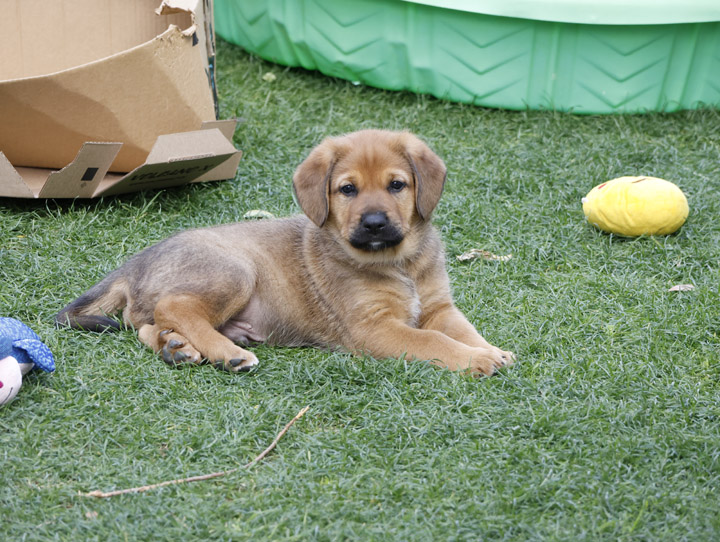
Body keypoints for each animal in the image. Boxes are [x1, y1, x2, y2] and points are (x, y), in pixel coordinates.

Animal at [57, 132, 512, 378]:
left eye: (397, 185)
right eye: (348, 189)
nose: (374, 223)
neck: (401, 263)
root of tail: (137, 261)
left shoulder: (439, 306)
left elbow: (462, 329)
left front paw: (490, 350)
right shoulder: (373, 327)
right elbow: (433, 340)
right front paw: (477, 359)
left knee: (146, 325)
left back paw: (176, 347)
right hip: (235, 271)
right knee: (175, 307)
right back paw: (227, 353)